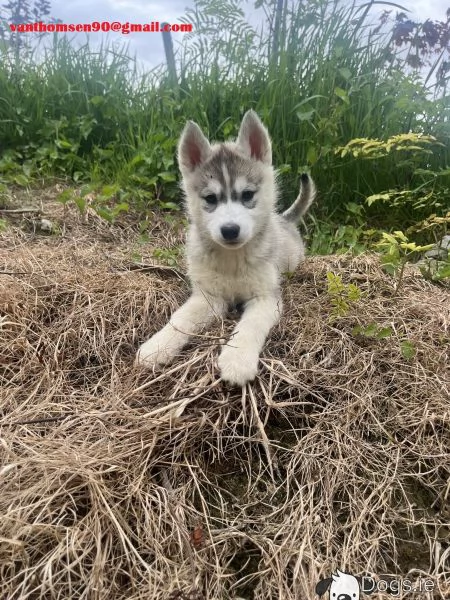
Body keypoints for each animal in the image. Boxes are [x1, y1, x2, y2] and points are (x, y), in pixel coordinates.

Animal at [135, 110, 314, 386]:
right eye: (211, 198)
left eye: (247, 194)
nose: (230, 230)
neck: (233, 259)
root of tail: (284, 219)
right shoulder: (209, 297)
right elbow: (180, 318)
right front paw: (157, 345)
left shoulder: (265, 297)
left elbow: (250, 325)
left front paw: (237, 360)